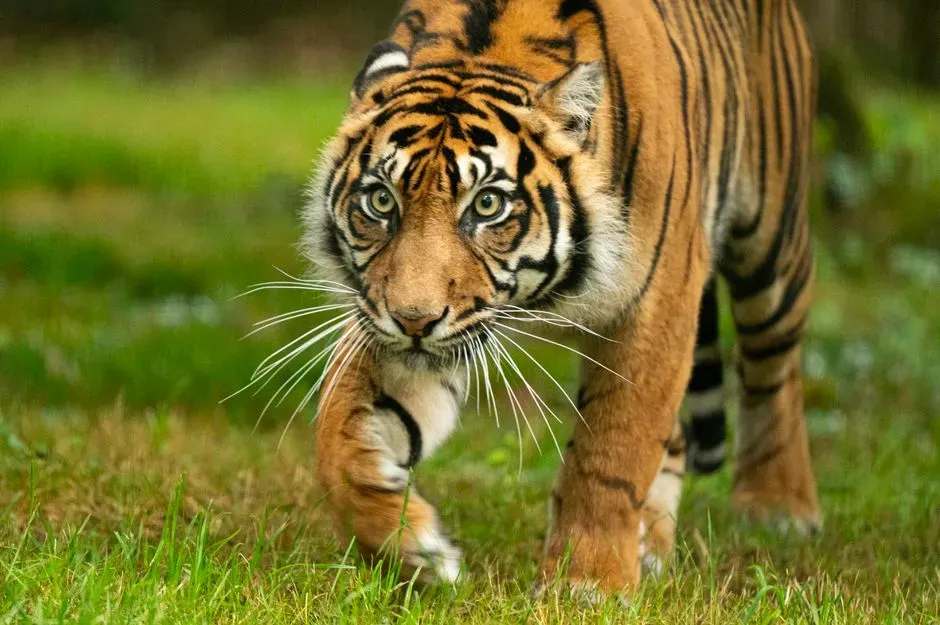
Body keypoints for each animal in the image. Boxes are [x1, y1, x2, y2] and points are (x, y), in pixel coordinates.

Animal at [300, 0, 820, 595]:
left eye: (487, 205)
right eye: (381, 201)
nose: (414, 319)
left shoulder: (656, 301)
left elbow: (612, 449)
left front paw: (587, 584)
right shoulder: (397, 320)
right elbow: (337, 438)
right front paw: (413, 552)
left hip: (772, 242)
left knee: (774, 369)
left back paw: (778, 505)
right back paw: (651, 542)